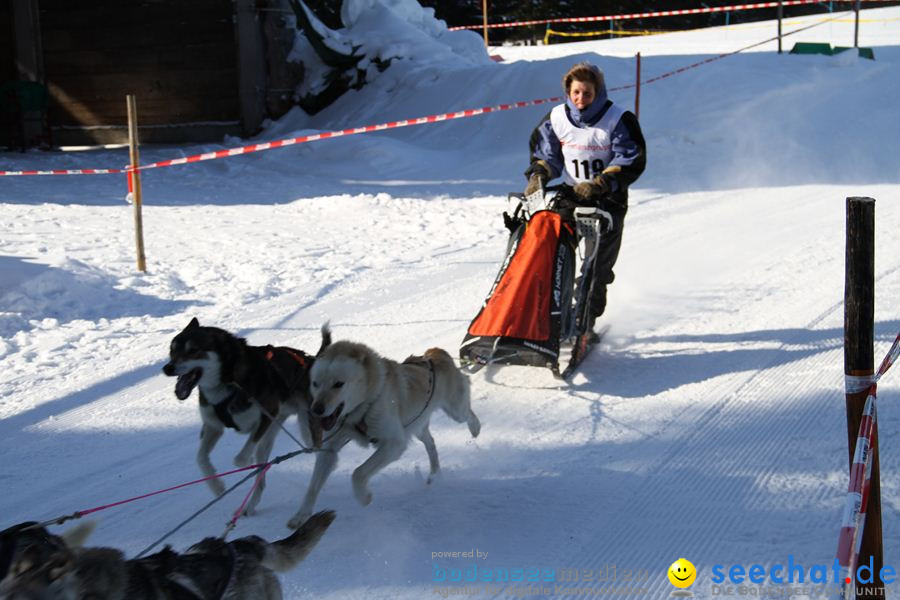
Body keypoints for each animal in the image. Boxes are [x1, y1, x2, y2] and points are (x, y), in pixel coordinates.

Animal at [292, 340, 482, 528]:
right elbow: (313, 485)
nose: (316, 410)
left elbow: (358, 473)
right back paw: (435, 473)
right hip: (416, 426)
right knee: (431, 444)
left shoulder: (394, 443)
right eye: (315, 384)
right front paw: (301, 515)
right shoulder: (329, 451)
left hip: (455, 411)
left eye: (338, 384)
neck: (363, 408)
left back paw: (475, 428)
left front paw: (364, 497)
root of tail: (434, 354)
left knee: (468, 413)